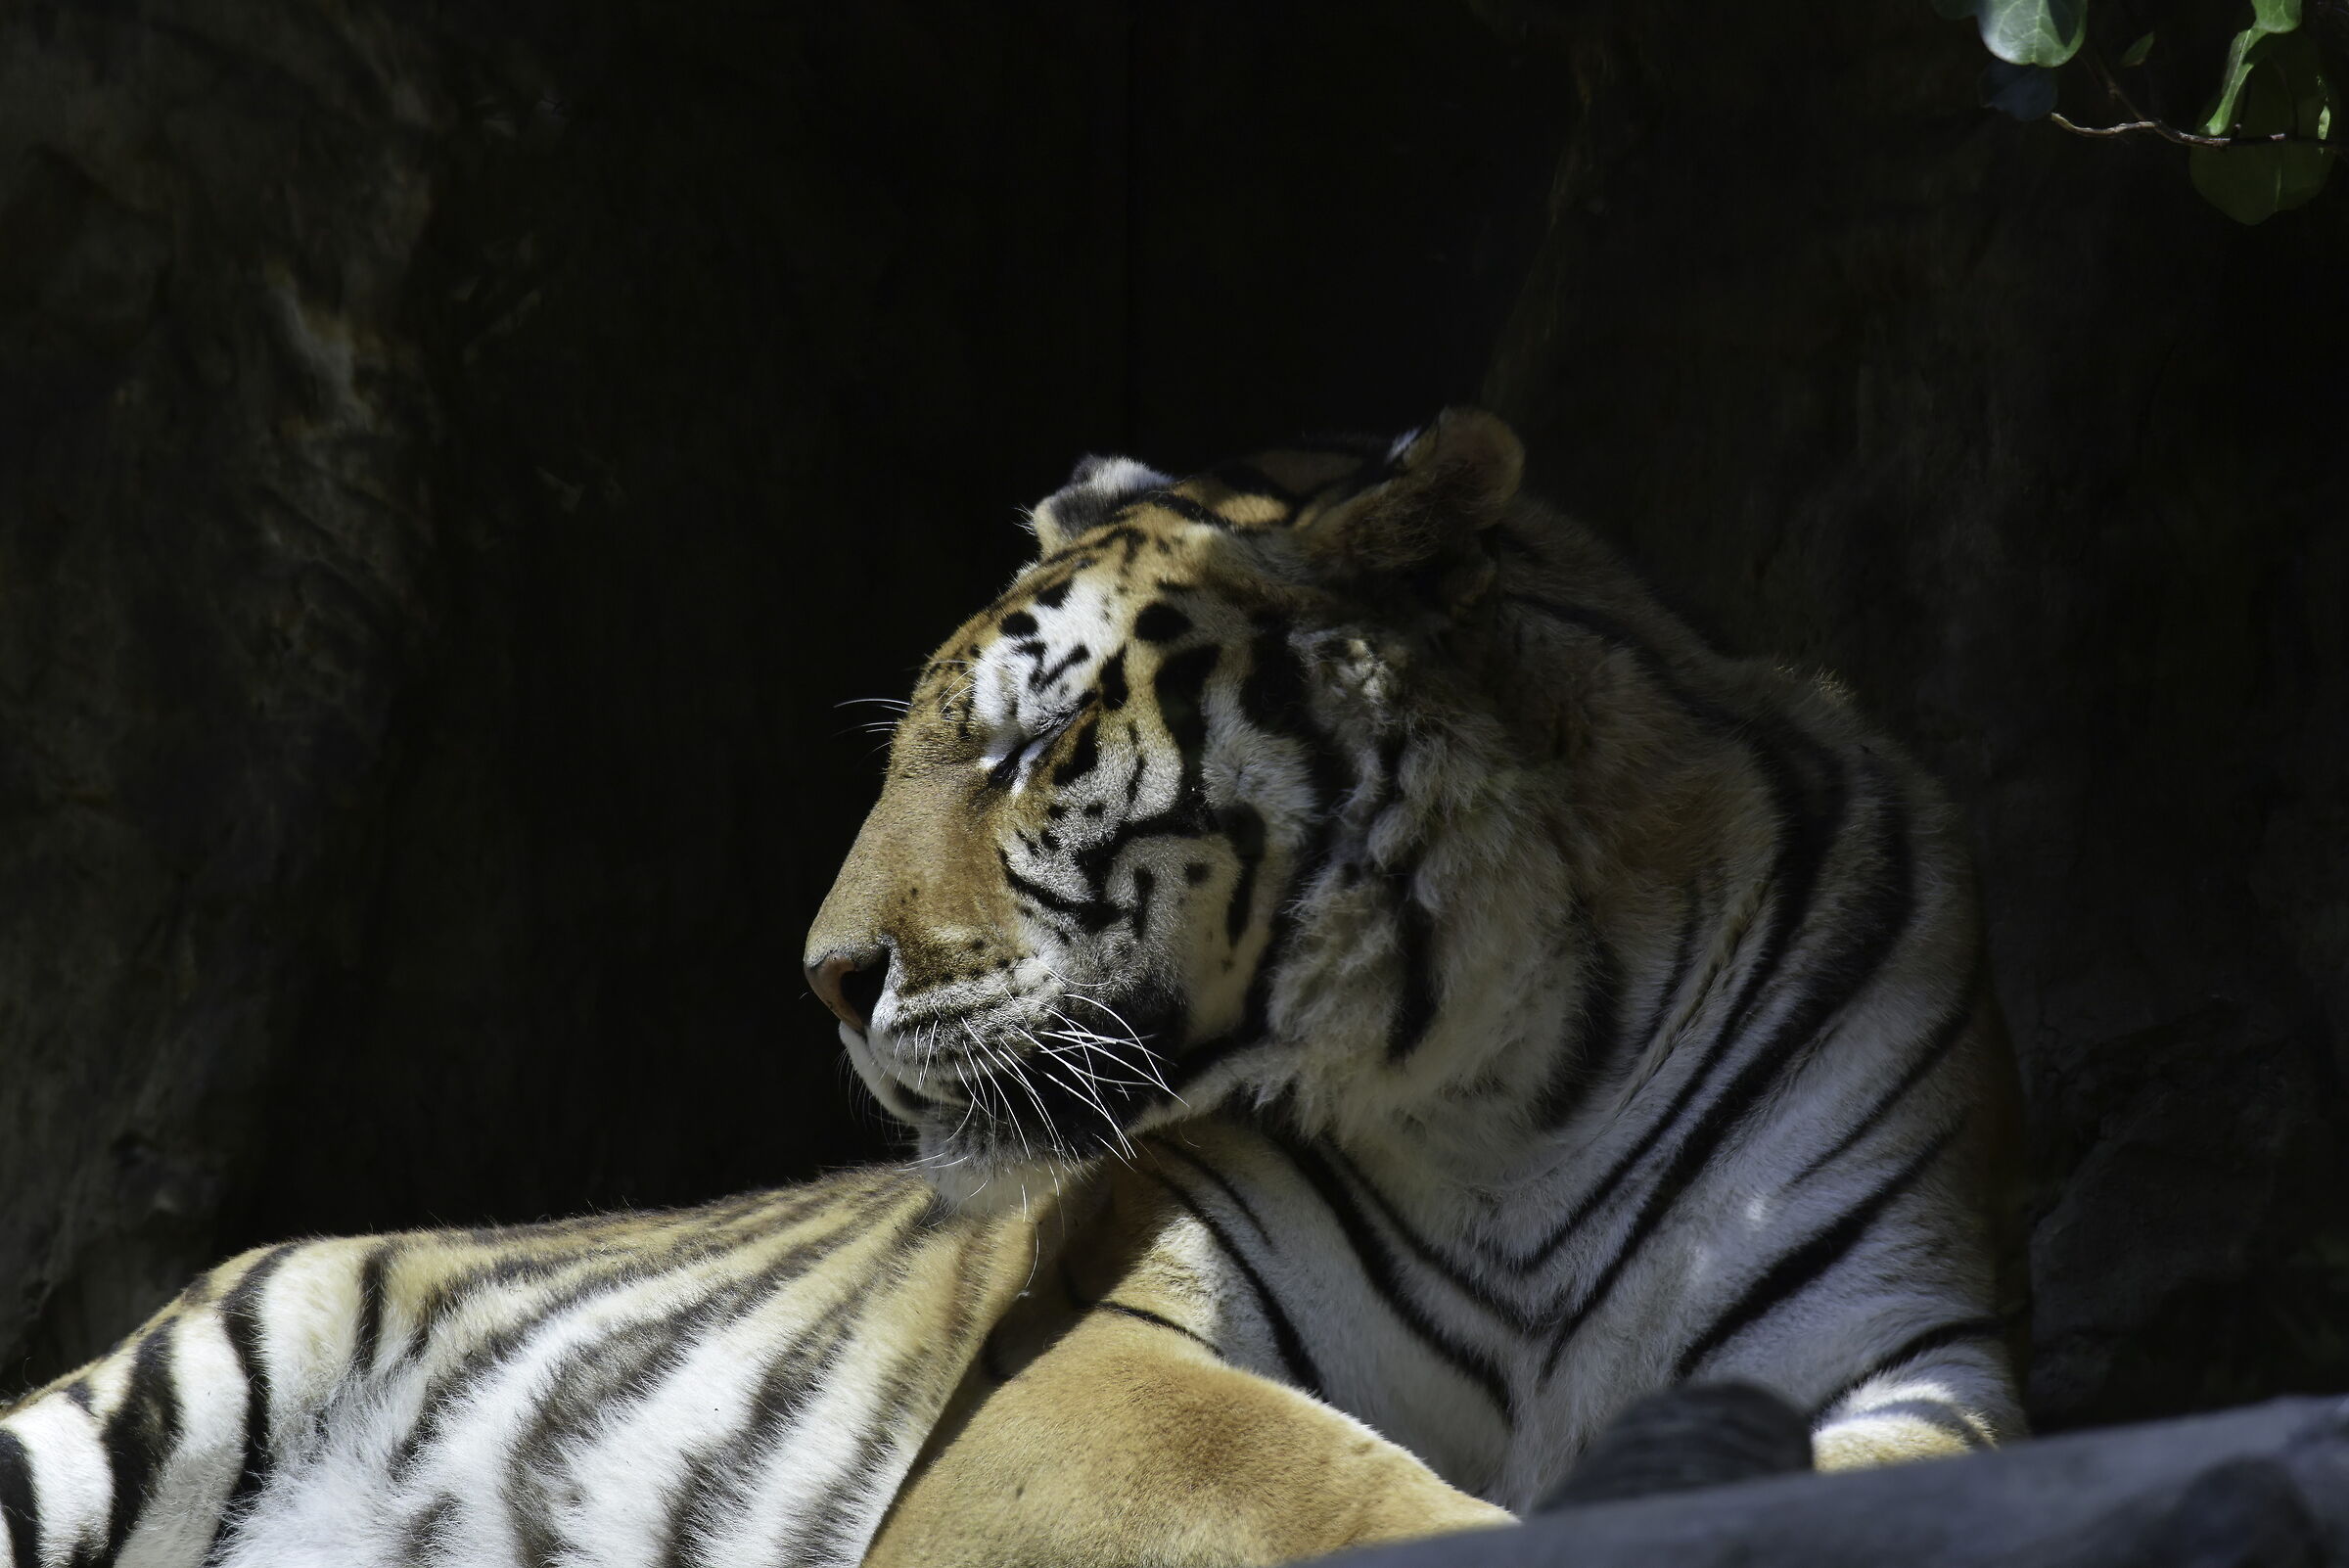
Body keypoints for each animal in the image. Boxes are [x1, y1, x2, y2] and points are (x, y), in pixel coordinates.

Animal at [1, 408, 2025, 1567]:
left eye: (1028, 748)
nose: (824, 978)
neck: (1506, 1085)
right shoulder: (1094, 1359)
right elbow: (1316, 1483)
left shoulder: (1908, 1359)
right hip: (159, 1398)